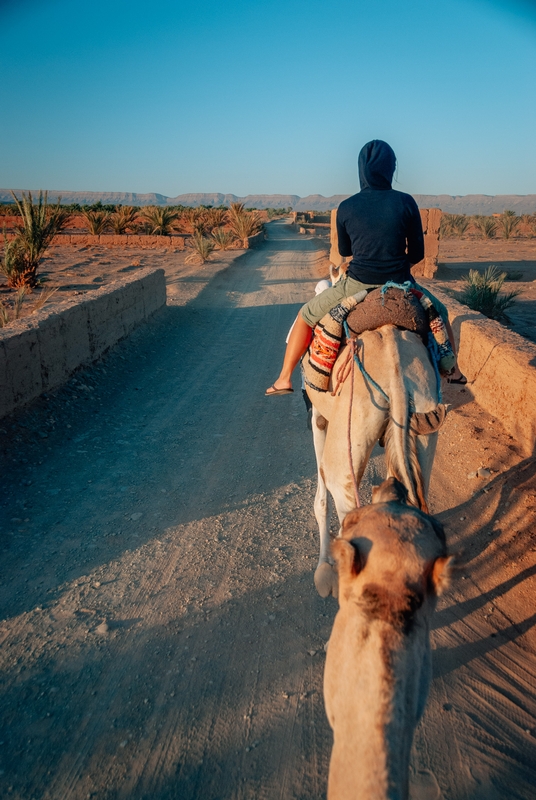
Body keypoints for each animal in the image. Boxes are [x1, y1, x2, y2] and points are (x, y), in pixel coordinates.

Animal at [308, 322, 446, 596]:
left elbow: (321, 500)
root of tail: (397, 378)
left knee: (340, 490)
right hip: (424, 416)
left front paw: (323, 572)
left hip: (351, 422)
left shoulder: (318, 414)